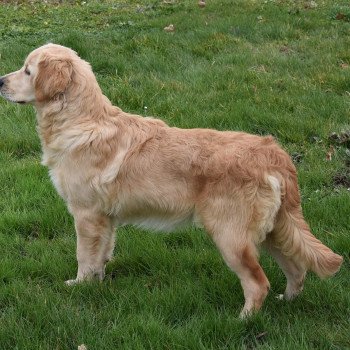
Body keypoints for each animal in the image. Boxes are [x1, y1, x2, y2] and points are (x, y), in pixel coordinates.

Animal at [0, 43, 344, 318]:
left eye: (28, 71)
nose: (0, 81)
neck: (80, 121)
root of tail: (274, 153)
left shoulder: (86, 215)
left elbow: (84, 256)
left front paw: (79, 285)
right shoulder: (105, 218)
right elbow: (101, 255)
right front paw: (95, 282)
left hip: (231, 237)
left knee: (258, 283)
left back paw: (243, 320)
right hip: (274, 230)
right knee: (297, 269)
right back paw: (286, 301)